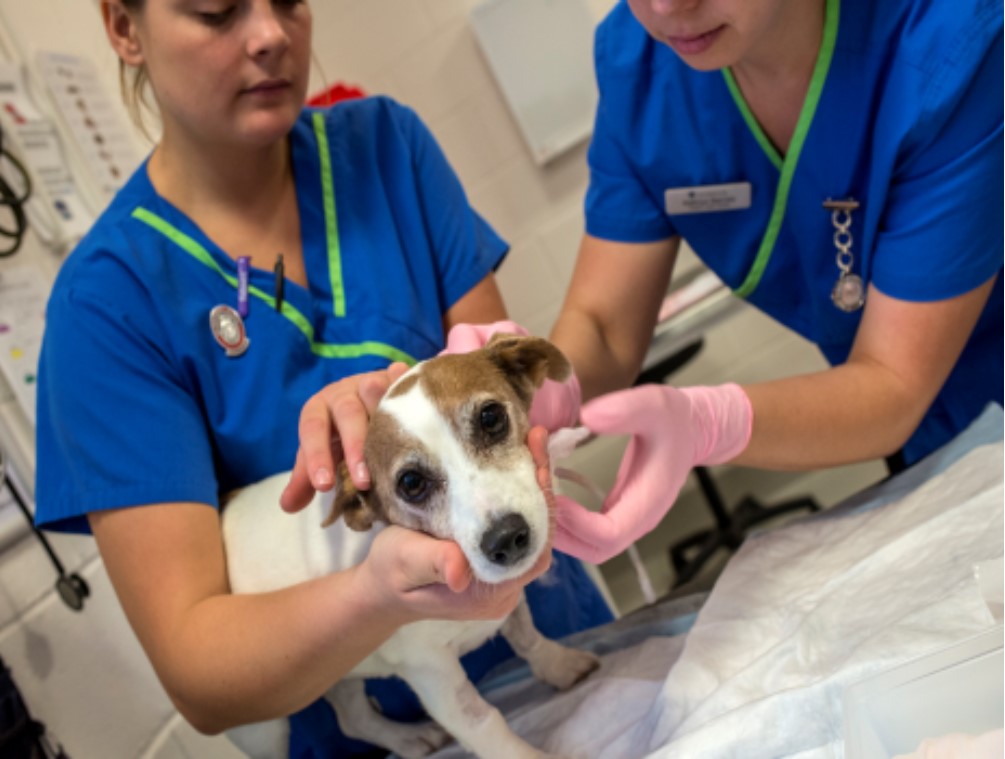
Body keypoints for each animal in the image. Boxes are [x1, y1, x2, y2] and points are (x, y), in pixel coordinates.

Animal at [221, 337, 598, 759]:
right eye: (412, 483)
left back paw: (406, 738)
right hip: (262, 727)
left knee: (353, 719)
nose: (505, 539)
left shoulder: (509, 609)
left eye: (490, 418)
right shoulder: (432, 674)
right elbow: (484, 723)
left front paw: (559, 665)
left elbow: (529, 640)